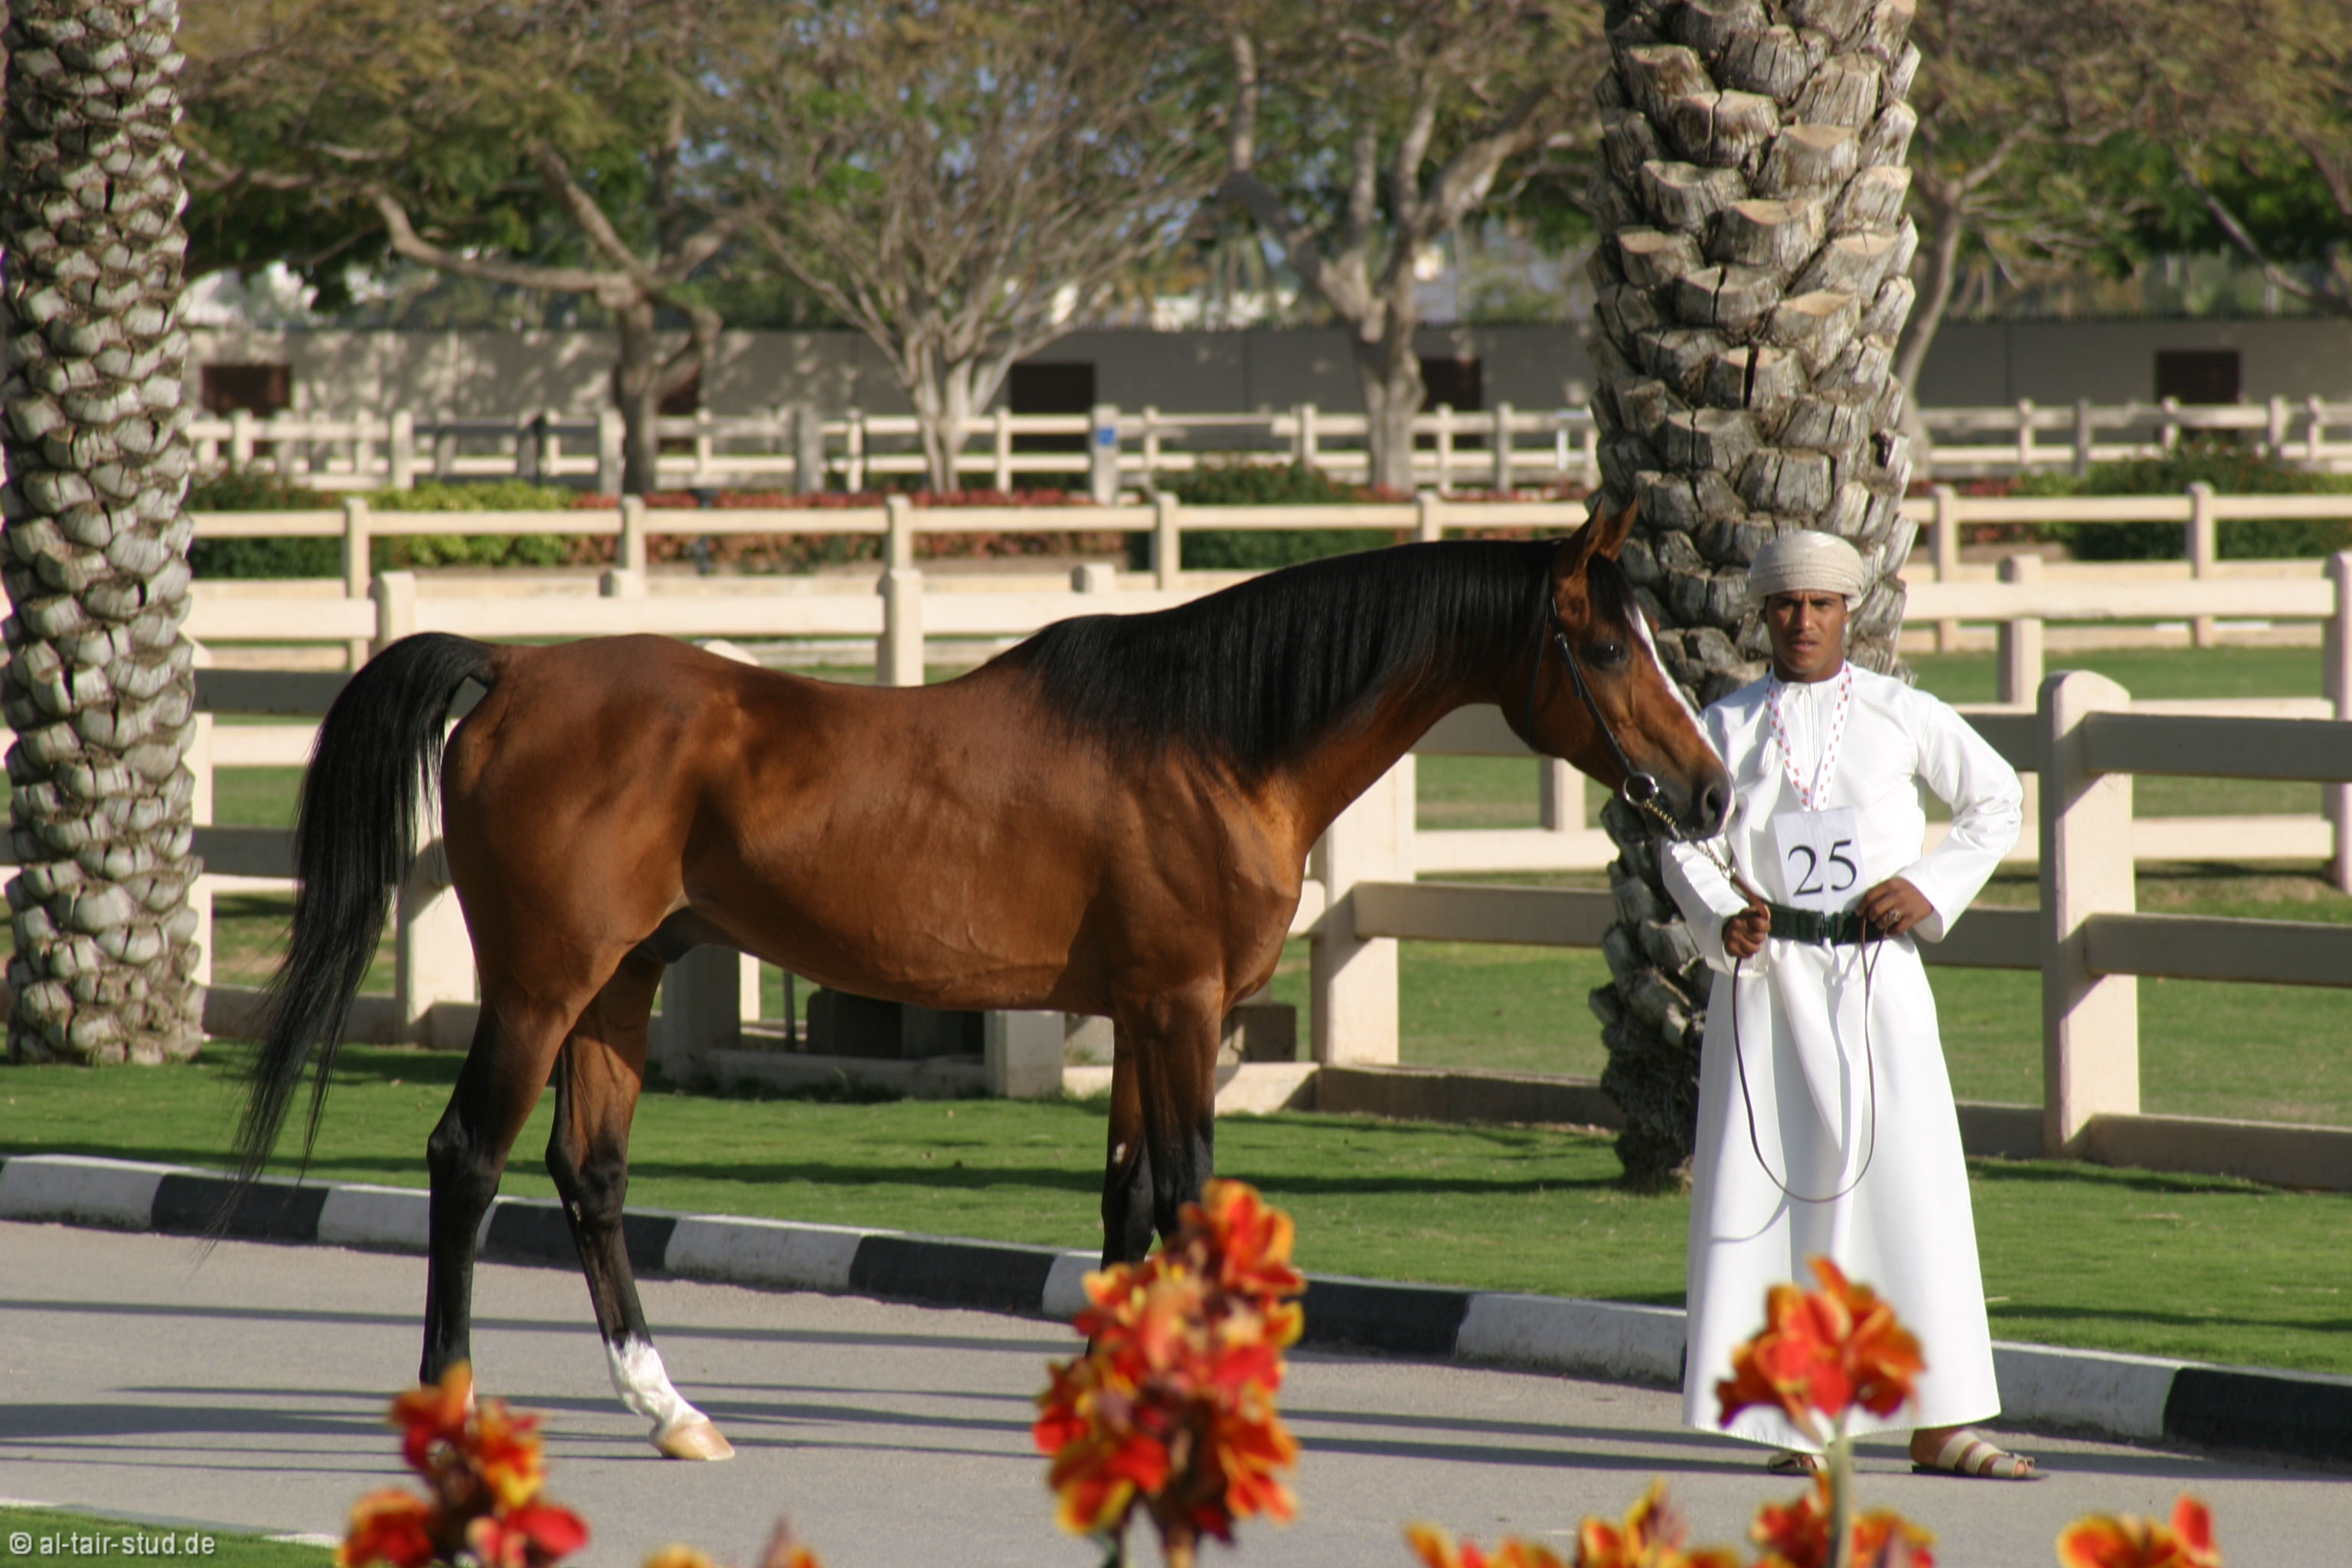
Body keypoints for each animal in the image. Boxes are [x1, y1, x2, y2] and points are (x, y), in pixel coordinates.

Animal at [225, 500, 1729, 1461]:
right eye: (1608, 646)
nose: (1710, 792)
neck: (1212, 739)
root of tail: (515, 670)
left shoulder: (1139, 1016)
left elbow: (1129, 1204)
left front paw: (1110, 1403)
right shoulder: (1183, 1010)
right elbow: (1188, 1200)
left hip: (620, 988)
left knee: (588, 1174)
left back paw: (671, 1409)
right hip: (541, 988)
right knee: (466, 1159)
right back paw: (455, 1409)